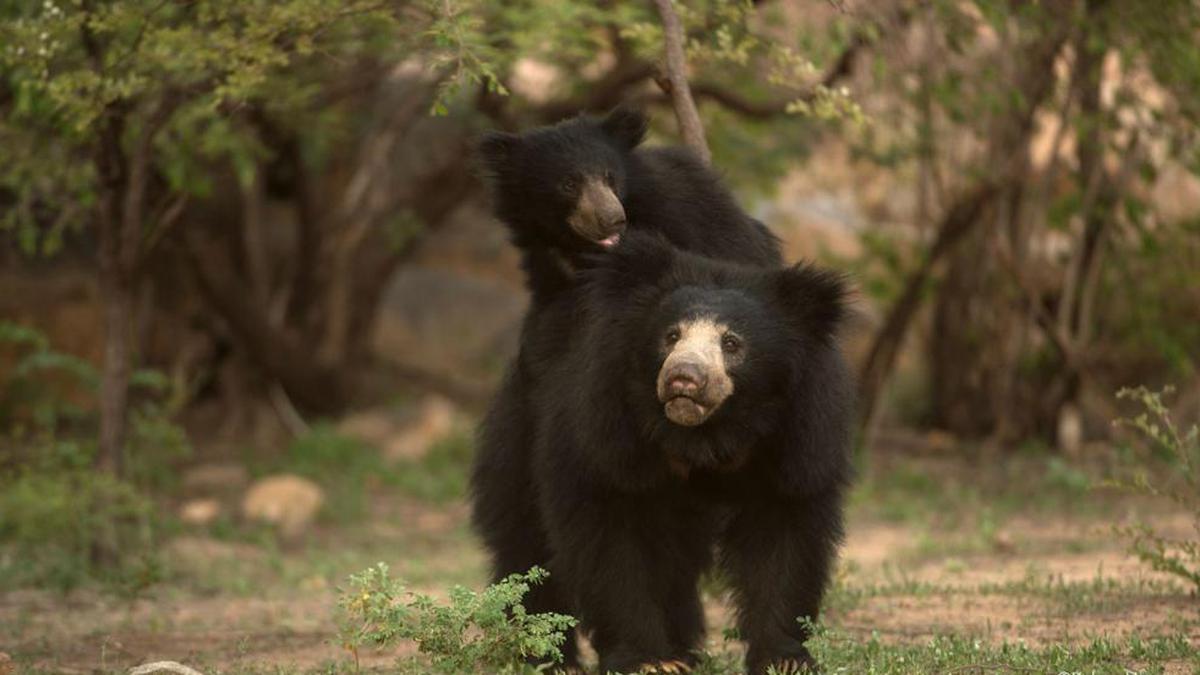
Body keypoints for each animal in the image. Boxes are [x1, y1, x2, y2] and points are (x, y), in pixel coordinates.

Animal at [468, 233, 854, 672]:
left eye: (732, 343)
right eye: (671, 336)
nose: (683, 378)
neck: (707, 433)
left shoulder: (800, 437)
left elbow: (783, 536)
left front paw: (785, 659)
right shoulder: (603, 428)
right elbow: (610, 539)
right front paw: (648, 660)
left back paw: (684, 649)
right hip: (523, 423)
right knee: (525, 537)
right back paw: (548, 656)